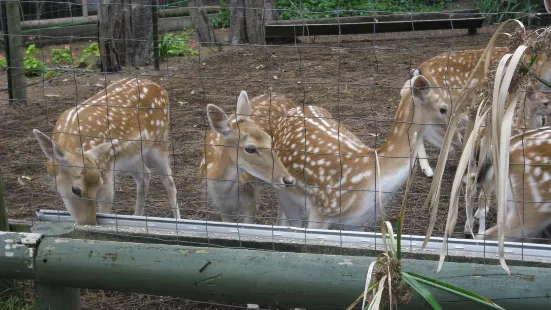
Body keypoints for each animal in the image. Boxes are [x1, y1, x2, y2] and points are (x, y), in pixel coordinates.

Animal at [32, 77, 180, 225]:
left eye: (100, 184)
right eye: (75, 190)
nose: (89, 223)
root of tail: (161, 88)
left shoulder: (106, 175)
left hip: (160, 141)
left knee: (169, 180)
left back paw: (178, 220)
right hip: (131, 157)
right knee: (145, 175)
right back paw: (137, 217)